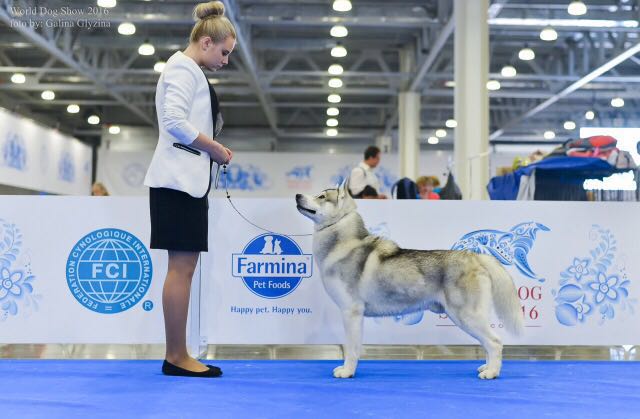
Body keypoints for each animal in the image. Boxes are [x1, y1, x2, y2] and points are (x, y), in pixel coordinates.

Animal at [295, 181, 523, 379]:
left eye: (321, 196)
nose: (297, 195)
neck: (342, 242)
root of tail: (475, 256)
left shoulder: (351, 312)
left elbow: (351, 348)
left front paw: (347, 372)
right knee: (488, 343)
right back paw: (487, 366)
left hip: (466, 316)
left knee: (495, 342)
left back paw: (491, 373)